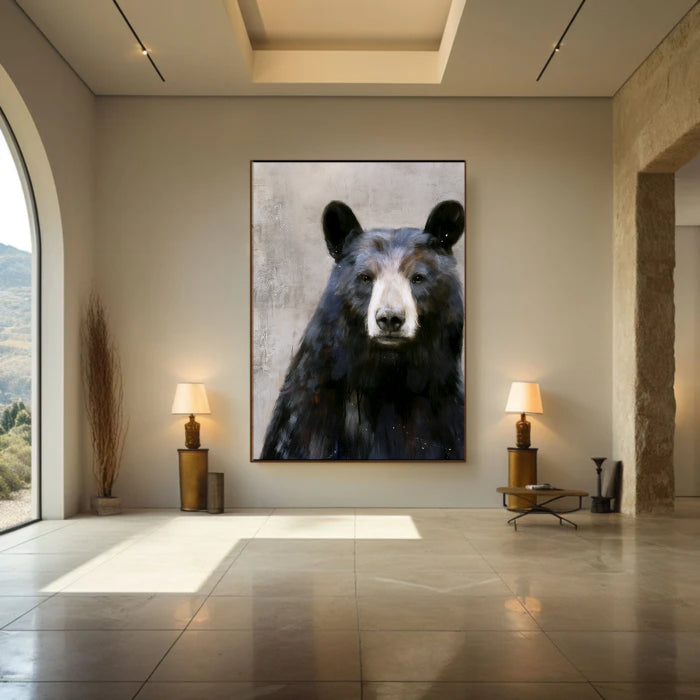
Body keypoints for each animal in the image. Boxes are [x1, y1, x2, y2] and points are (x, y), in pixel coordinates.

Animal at [260, 199, 465, 460]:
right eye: (365, 277)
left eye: (418, 278)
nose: (390, 318)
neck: (388, 375)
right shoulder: (310, 415)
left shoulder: (441, 410)